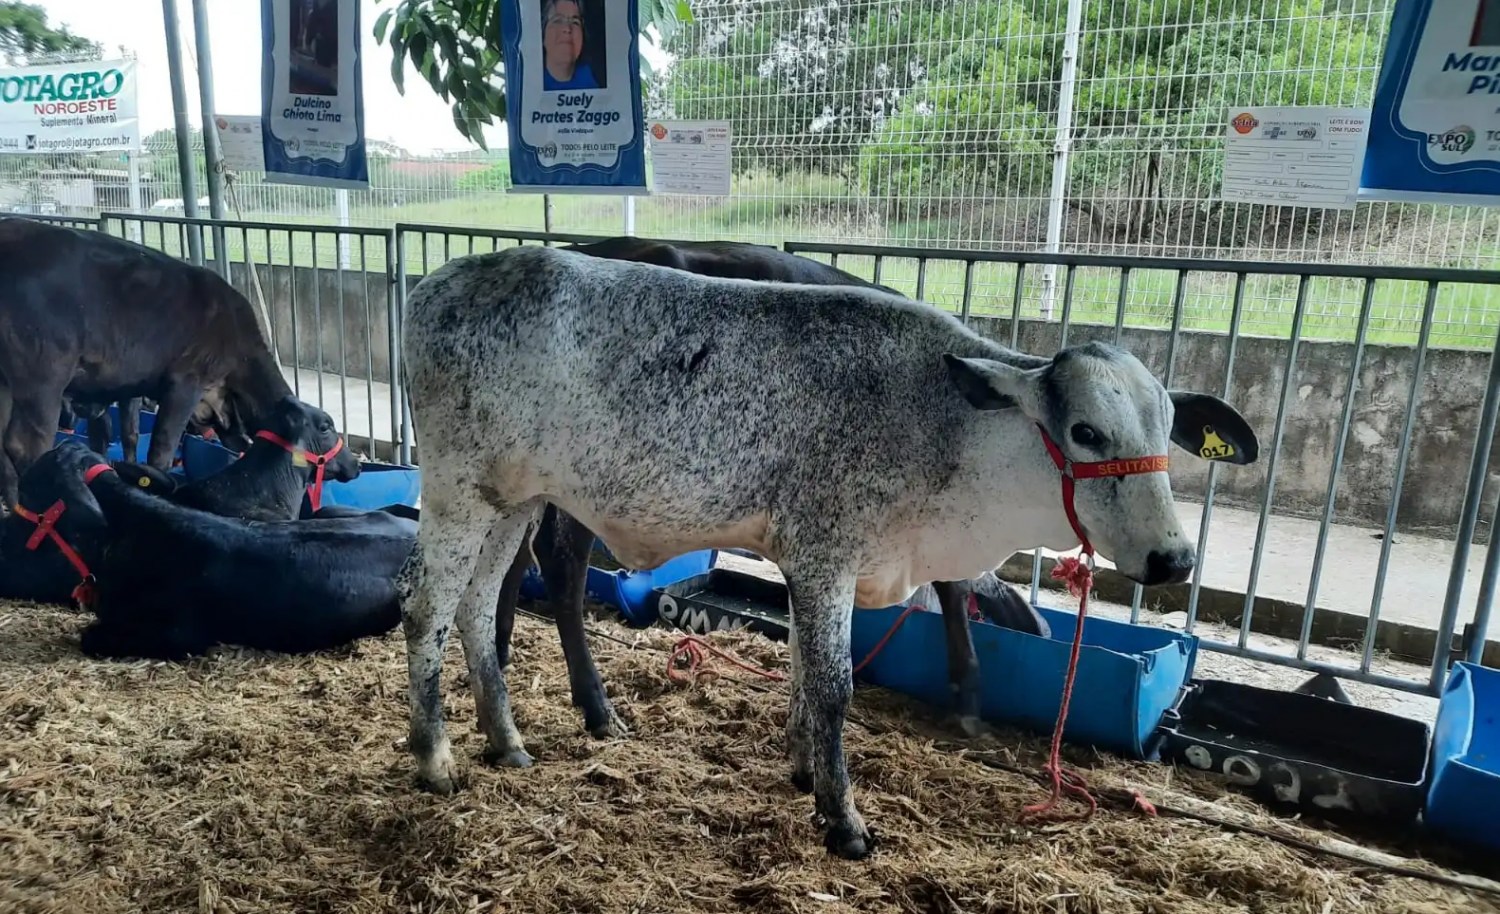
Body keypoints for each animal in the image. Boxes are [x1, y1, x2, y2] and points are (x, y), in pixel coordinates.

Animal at [0, 217, 301, 510]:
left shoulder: (129, 387)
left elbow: (126, 435)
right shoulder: (186, 381)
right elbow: (161, 450)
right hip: (44, 375)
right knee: (24, 445)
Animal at [498, 235, 1050, 741]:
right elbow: (954, 589)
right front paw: (968, 696)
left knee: (515, 555)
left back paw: (501, 658)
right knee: (561, 564)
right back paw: (596, 707)